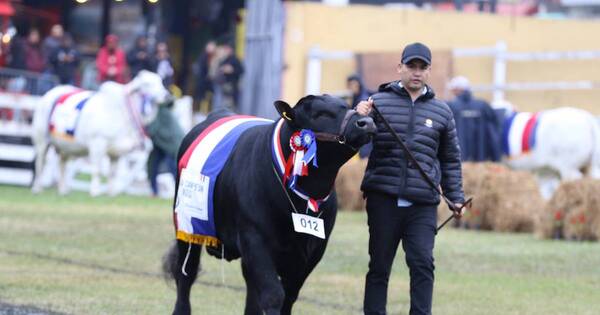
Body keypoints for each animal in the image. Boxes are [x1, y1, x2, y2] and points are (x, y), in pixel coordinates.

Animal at [32, 70, 170, 196]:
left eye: (161, 82)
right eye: (147, 84)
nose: (167, 96)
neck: (123, 112)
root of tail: (51, 92)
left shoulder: (116, 153)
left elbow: (112, 173)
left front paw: (111, 193)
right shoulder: (97, 144)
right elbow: (97, 170)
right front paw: (95, 191)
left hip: (65, 147)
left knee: (62, 164)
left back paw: (63, 190)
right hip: (42, 140)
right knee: (40, 163)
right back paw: (37, 189)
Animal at [163, 95, 376, 314]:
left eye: (348, 106)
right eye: (320, 114)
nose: (366, 122)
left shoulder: (313, 250)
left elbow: (288, 296)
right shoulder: (255, 240)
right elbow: (273, 295)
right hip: (186, 226)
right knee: (186, 273)